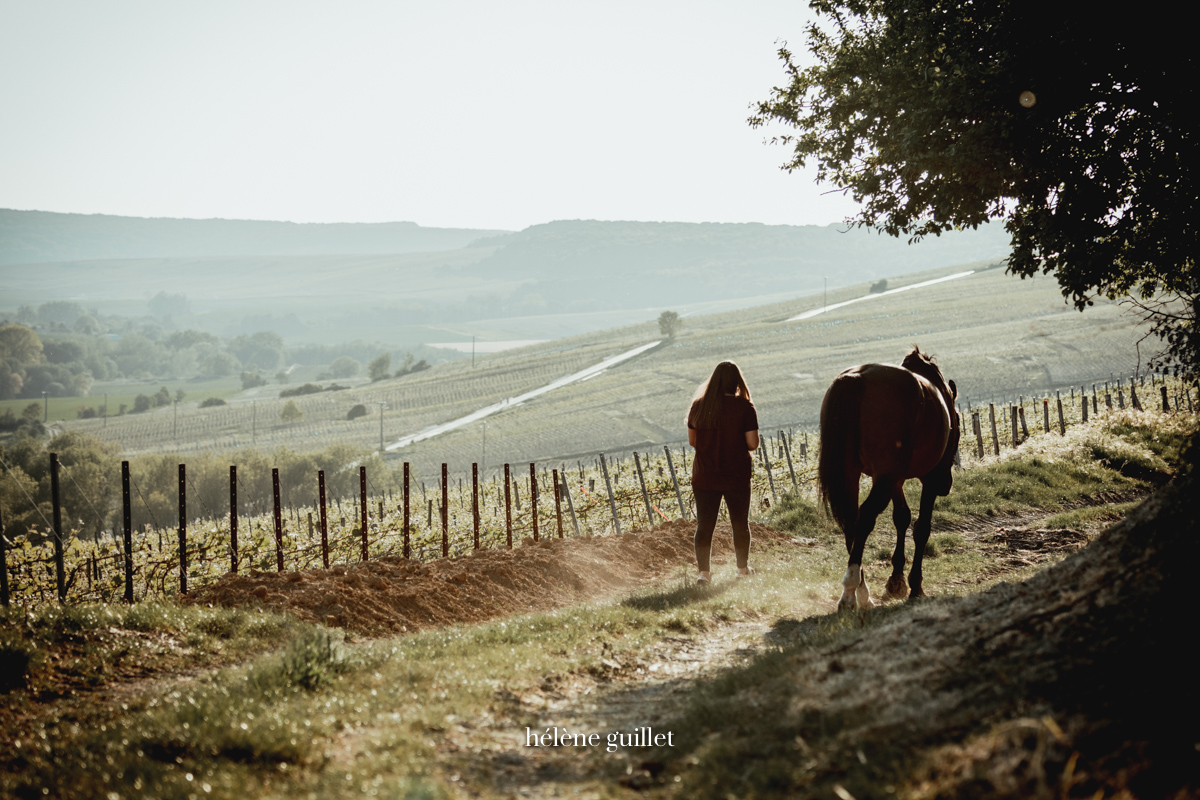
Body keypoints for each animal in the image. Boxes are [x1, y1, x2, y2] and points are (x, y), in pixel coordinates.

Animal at [811, 345, 960, 614]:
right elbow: (921, 528)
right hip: (885, 478)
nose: (947, 486)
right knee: (864, 518)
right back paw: (849, 592)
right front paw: (915, 585)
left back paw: (862, 592)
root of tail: (856, 379)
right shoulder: (927, 479)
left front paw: (896, 581)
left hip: (854, 475)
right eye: (960, 424)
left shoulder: (894, 479)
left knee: (851, 522)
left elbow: (901, 517)